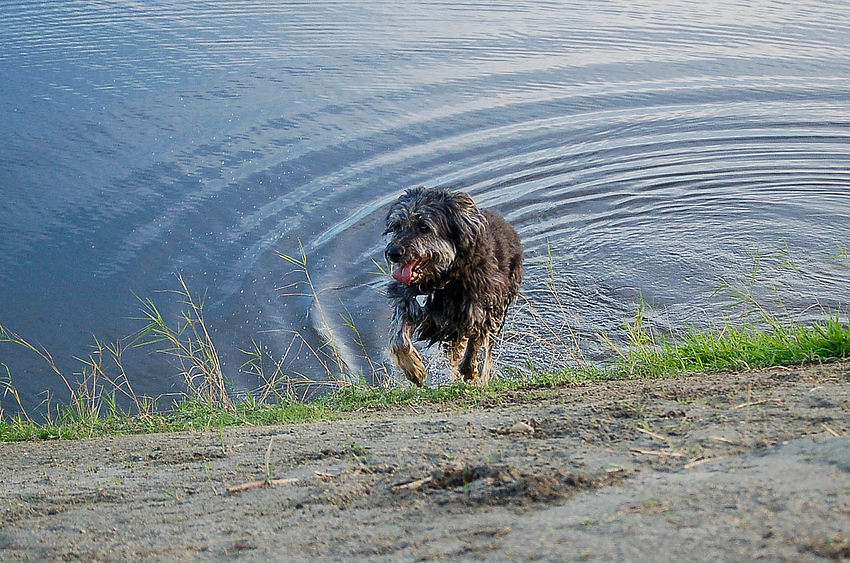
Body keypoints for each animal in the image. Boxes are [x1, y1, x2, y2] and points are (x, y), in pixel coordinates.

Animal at [382, 187, 520, 386]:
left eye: (423, 227)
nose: (393, 253)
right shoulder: (408, 301)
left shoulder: (481, 311)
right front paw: (414, 369)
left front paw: (470, 372)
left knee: (486, 350)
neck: (442, 282)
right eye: (397, 226)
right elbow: (398, 339)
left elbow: (475, 347)